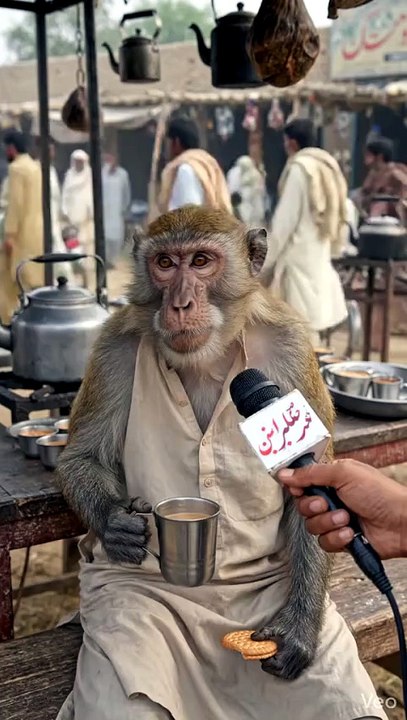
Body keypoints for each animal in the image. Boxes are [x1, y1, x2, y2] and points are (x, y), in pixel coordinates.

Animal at [56, 206, 385, 720]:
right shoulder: (113, 346)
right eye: (165, 263)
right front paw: (115, 523)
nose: (180, 304)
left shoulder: (292, 343)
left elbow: (313, 464)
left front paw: (300, 626)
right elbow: (81, 456)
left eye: (201, 261)